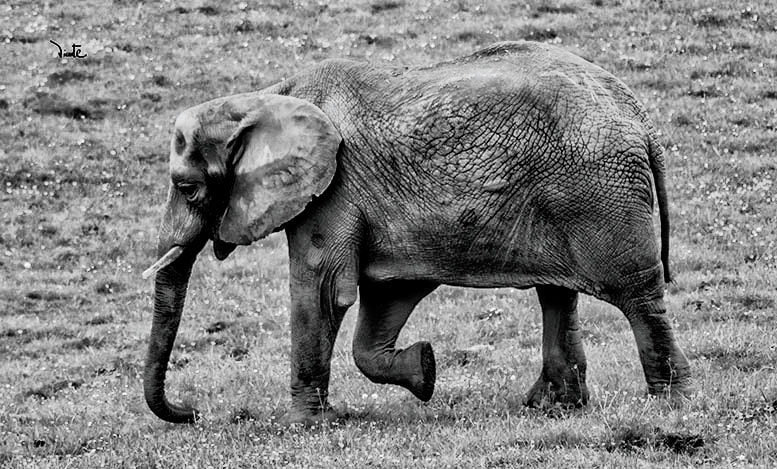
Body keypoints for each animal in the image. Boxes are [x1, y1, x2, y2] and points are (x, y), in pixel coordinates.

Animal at [142, 41, 691, 424]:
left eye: (188, 188)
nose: (193, 411)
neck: (267, 96)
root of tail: (638, 116)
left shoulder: (333, 187)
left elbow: (322, 289)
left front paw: (299, 425)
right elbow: (385, 297)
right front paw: (425, 370)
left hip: (599, 192)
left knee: (638, 295)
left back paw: (670, 406)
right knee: (557, 294)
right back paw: (553, 407)